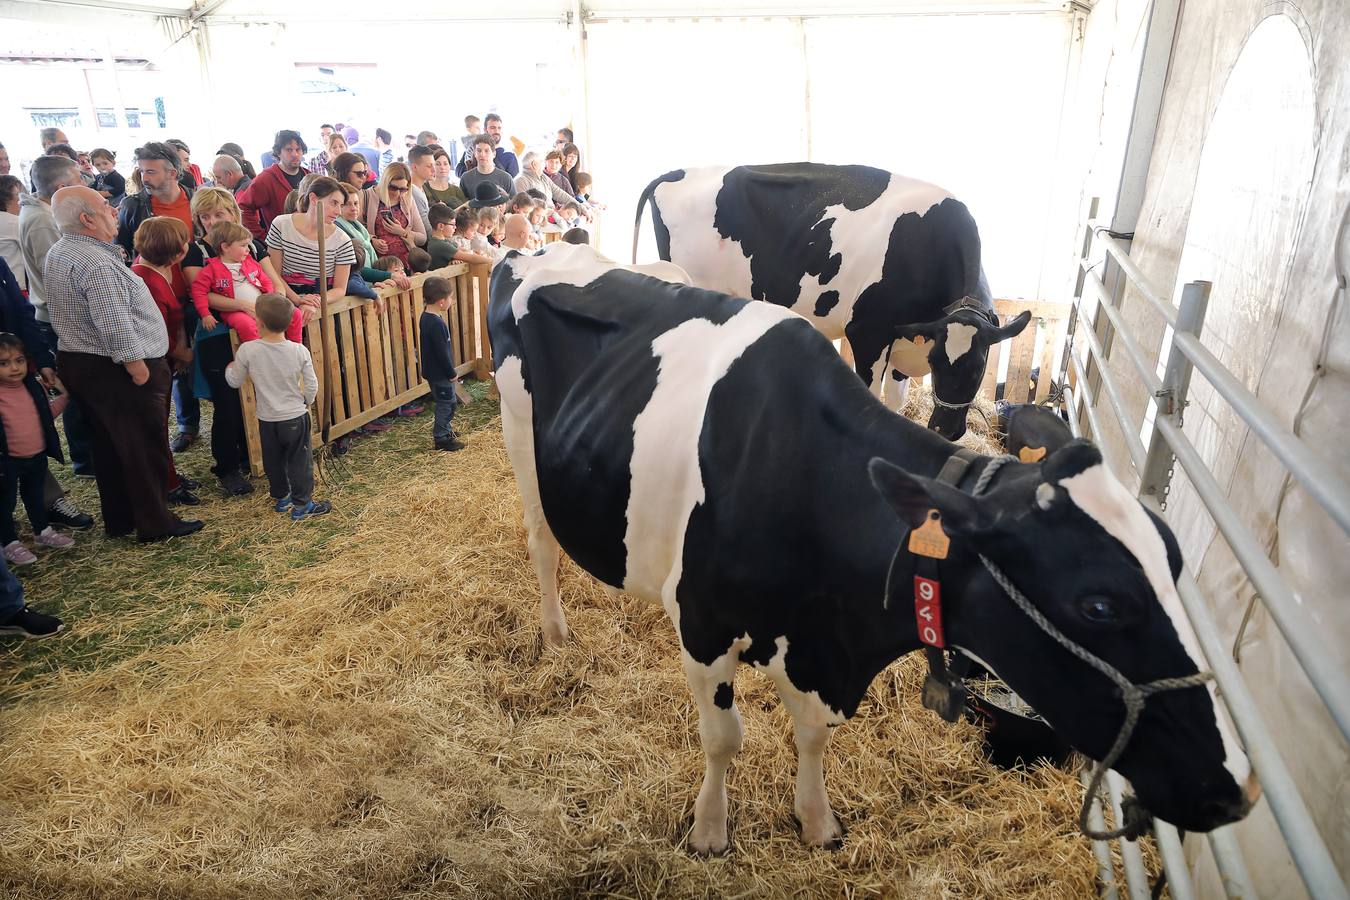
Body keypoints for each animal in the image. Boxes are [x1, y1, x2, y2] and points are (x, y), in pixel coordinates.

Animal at [486, 242, 1252, 858]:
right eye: (1098, 603)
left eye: (1174, 561)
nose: (1236, 788)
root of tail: (537, 248)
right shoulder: (705, 626)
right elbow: (724, 736)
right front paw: (709, 831)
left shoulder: (821, 647)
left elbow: (813, 734)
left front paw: (816, 821)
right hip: (522, 440)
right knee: (541, 541)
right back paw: (555, 633)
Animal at [631, 166, 1031, 442]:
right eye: (937, 363)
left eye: (979, 368)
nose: (944, 430)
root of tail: (677, 171)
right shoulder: (868, 332)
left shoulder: (905, 340)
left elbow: (895, 401)